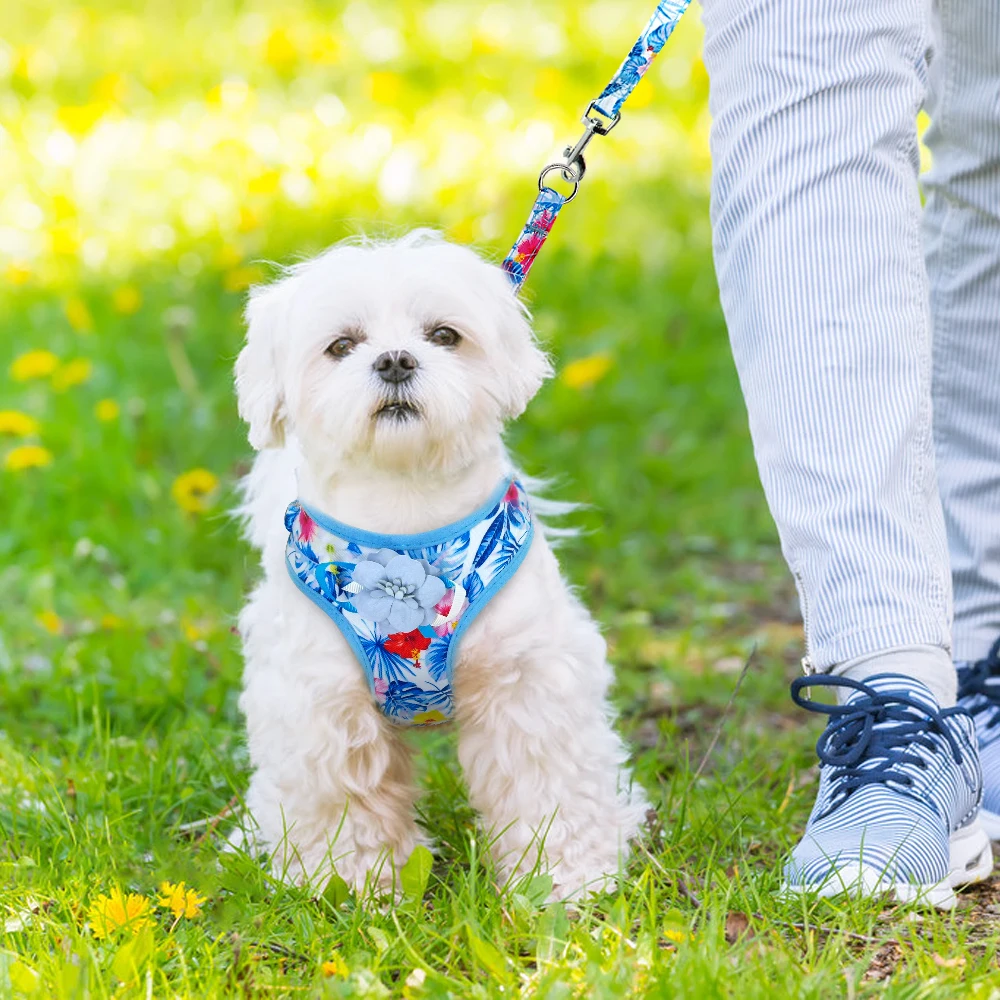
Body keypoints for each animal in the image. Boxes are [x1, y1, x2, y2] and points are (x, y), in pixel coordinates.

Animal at [238, 232, 652, 900]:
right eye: (342, 345)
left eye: (444, 335)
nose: (395, 360)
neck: (406, 519)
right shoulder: (321, 707)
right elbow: (347, 803)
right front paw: (355, 885)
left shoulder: (530, 684)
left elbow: (549, 790)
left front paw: (565, 880)